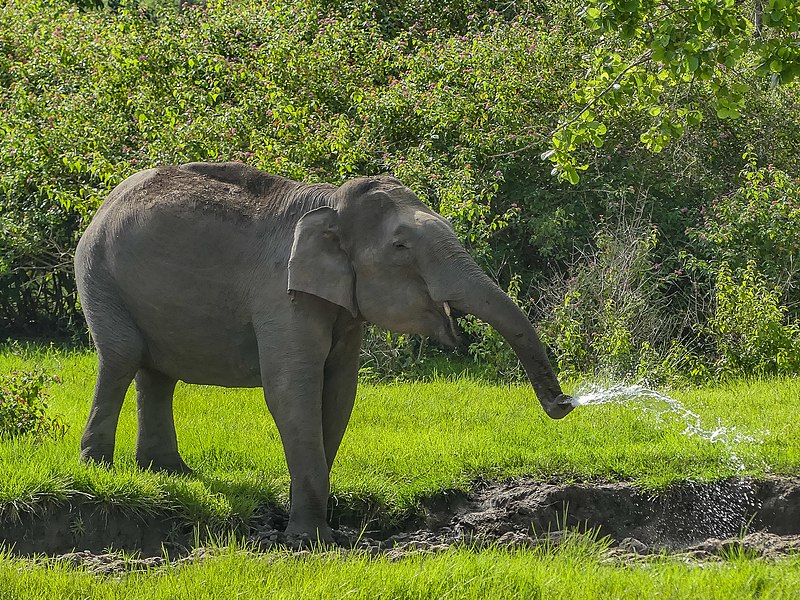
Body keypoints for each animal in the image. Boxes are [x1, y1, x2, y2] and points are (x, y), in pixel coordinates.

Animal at [75, 162, 576, 540]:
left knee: (157, 373)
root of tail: (105, 201)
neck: (330, 203)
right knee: (122, 357)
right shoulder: (281, 293)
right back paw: (99, 470)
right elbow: (291, 390)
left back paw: (168, 474)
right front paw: (311, 539)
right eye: (400, 247)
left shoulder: (344, 307)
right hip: (98, 274)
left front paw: (316, 526)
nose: (564, 403)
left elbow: (337, 392)